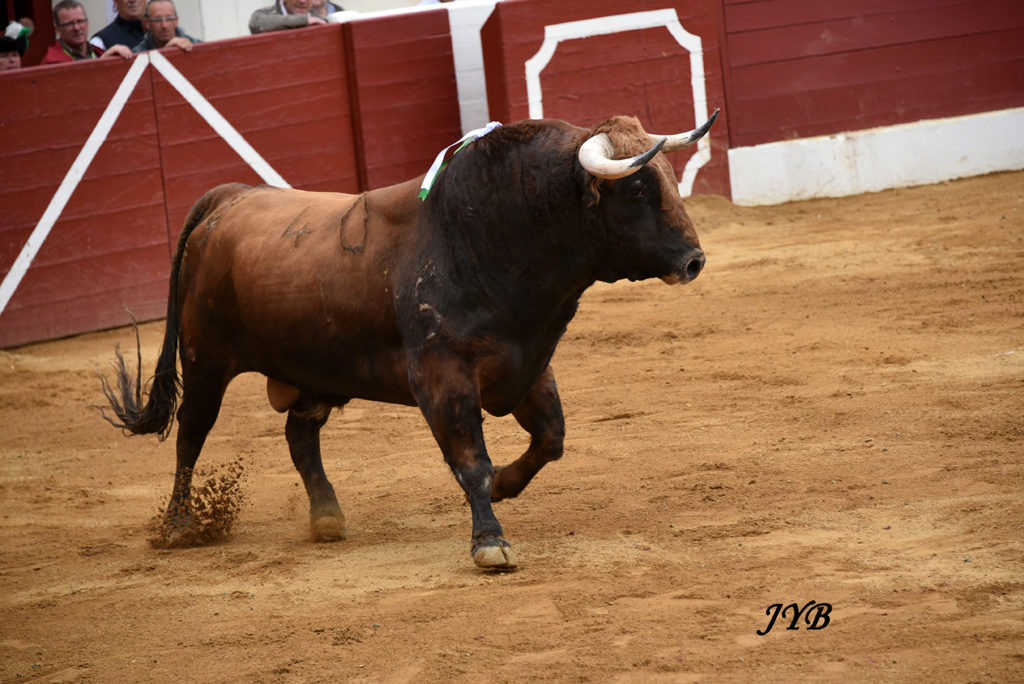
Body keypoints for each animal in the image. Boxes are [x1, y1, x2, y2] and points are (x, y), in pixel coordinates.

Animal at [100, 110, 719, 569]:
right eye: (637, 187)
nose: (694, 261)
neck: (490, 235)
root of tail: (228, 198)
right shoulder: (444, 378)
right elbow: (469, 457)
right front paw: (490, 541)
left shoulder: (527, 364)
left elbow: (551, 438)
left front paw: (504, 486)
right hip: (205, 361)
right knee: (190, 435)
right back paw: (178, 525)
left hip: (312, 373)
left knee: (299, 435)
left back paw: (327, 517)